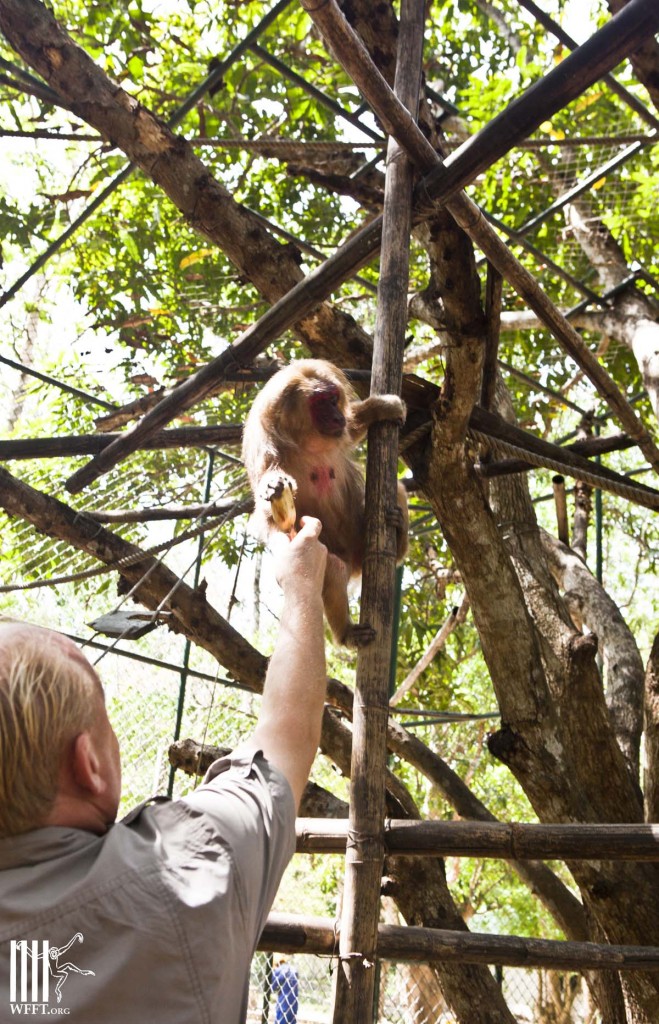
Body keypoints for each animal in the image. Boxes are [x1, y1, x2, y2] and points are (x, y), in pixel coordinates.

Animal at [241, 362, 407, 647]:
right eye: (319, 403)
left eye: (332, 398)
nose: (336, 417)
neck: (307, 442)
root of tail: (356, 563)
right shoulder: (265, 447)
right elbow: (267, 510)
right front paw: (273, 487)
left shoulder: (339, 433)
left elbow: (352, 430)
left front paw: (380, 408)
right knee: (334, 568)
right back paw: (346, 633)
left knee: (397, 489)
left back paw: (398, 531)